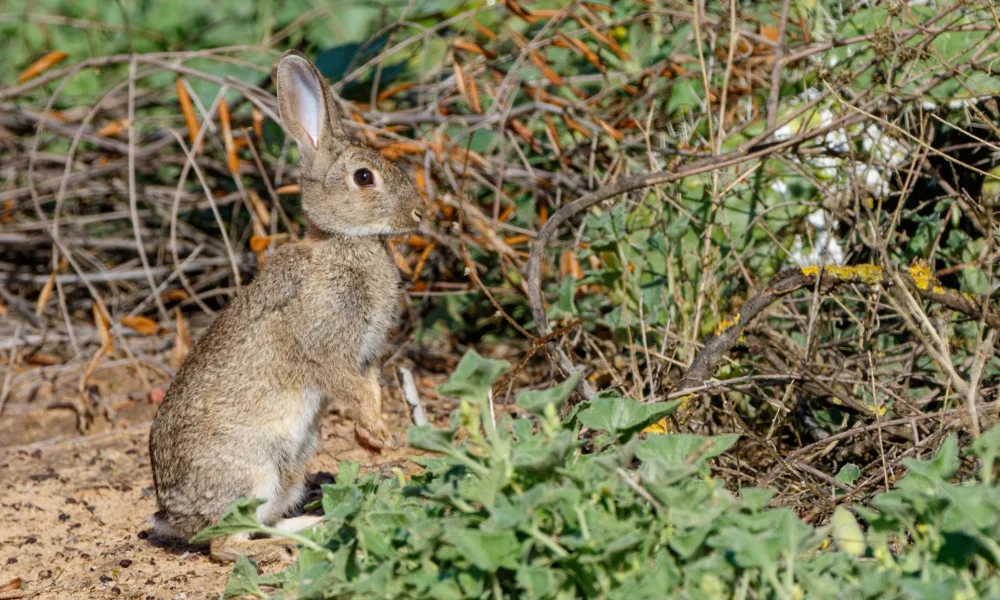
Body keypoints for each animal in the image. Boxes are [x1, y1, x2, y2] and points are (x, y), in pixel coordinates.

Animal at [148, 49, 423, 564]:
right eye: (364, 177)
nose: (420, 213)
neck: (344, 242)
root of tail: (172, 515)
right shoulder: (325, 345)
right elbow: (348, 386)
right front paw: (377, 431)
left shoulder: (366, 357)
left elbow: (371, 387)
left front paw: (372, 439)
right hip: (252, 471)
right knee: (226, 545)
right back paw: (283, 548)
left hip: (291, 467)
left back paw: (315, 525)